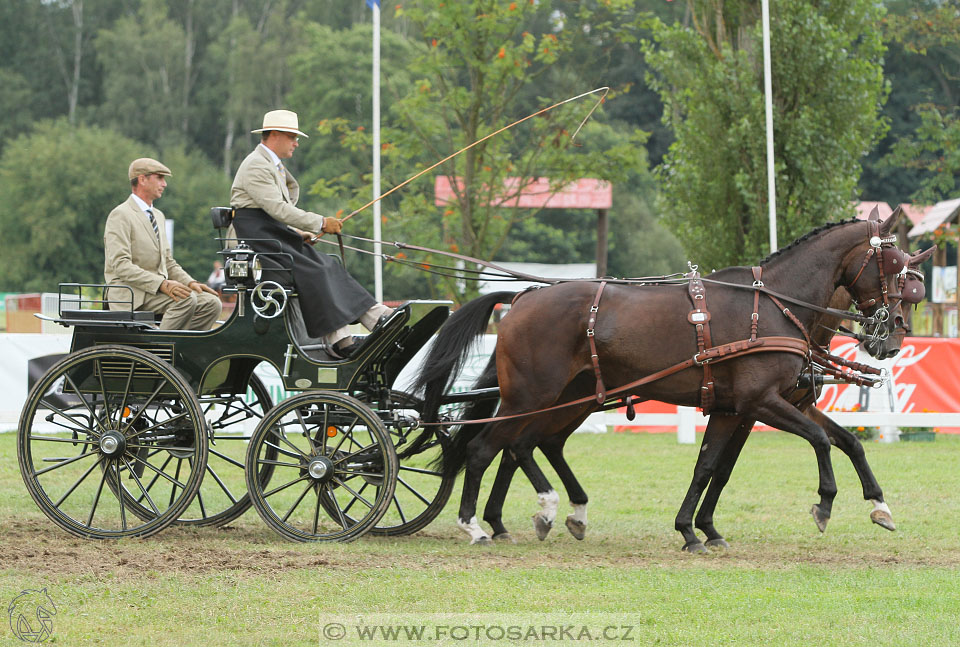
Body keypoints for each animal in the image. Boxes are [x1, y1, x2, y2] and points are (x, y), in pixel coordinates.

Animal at [410, 213, 916, 548]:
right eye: (893, 265)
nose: (892, 336)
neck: (774, 304)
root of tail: (524, 297)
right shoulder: (760, 402)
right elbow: (820, 441)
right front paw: (825, 504)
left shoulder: (739, 407)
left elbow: (715, 465)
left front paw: (695, 529)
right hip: (531, 395)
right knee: (490, 447)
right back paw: (483, 524)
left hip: (567, 397)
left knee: (527, 444)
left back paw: (546, 514)